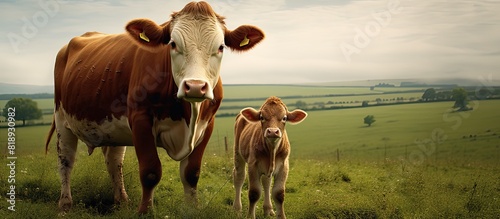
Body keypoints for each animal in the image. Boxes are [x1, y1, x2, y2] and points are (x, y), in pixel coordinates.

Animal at [46, 1, 266, 214]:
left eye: (220, 47)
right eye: (173, 44)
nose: (195, 86)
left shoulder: (207, 124)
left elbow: (191, 173)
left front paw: (192, 208)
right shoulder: (140, 119)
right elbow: (150, 171)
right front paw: (145, 210)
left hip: (112, 128)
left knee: (114, 161)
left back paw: (121, 201)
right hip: (61, 118)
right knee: (65, 160)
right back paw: (65, 204)